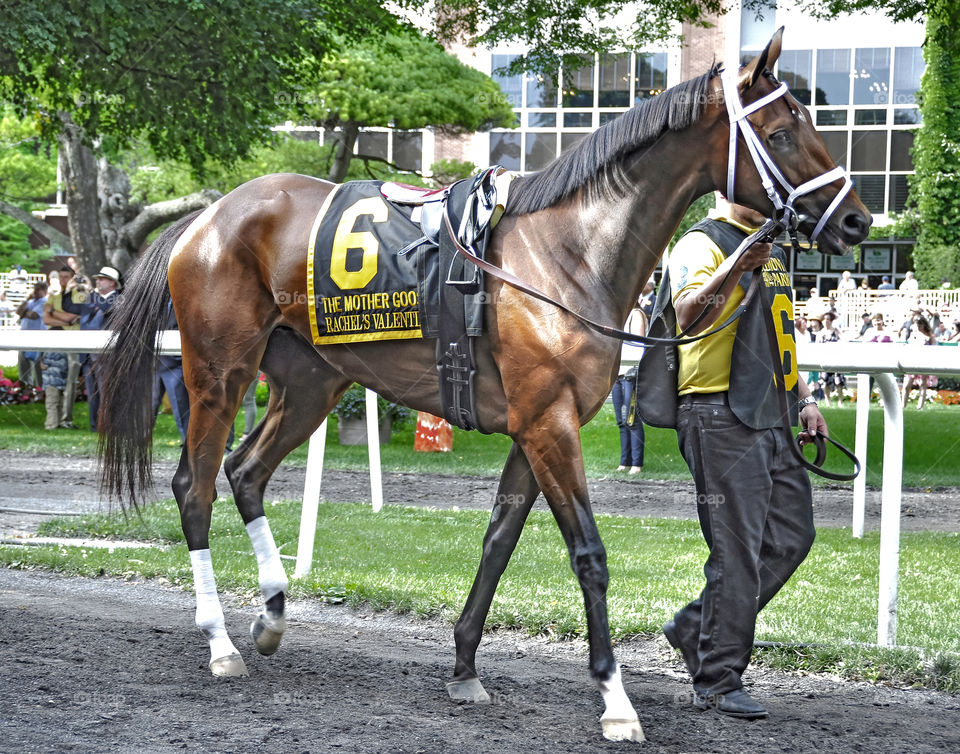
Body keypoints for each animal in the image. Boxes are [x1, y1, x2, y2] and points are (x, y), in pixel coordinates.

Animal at [95, 32, 872, 744]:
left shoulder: (537, 426)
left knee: (246, 470)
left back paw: (272, 615)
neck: (566, 253)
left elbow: (498, 540)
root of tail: (206, 217)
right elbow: (589, 555)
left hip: (312, 381)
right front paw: (616, 701)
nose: (857, 217)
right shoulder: (549, 423)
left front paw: (466, 667)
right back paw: (221, 641)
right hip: (218, 372)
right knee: (194, 485)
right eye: (782, 131)